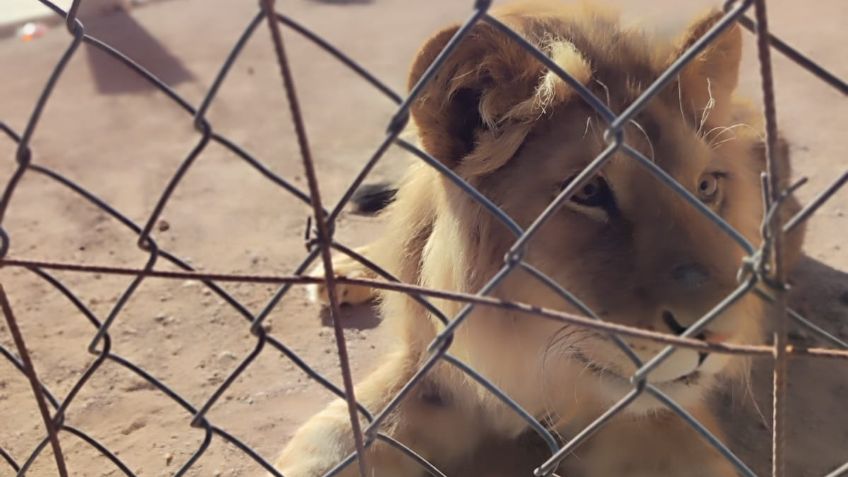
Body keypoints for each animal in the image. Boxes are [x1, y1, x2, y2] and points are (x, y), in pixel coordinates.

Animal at [274, 1, 804, 474]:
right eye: (588, 191)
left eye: (707, 187)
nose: (722, 333)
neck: (530, 356)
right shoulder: (431, 368)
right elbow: (336, 439)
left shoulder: (655, 420)